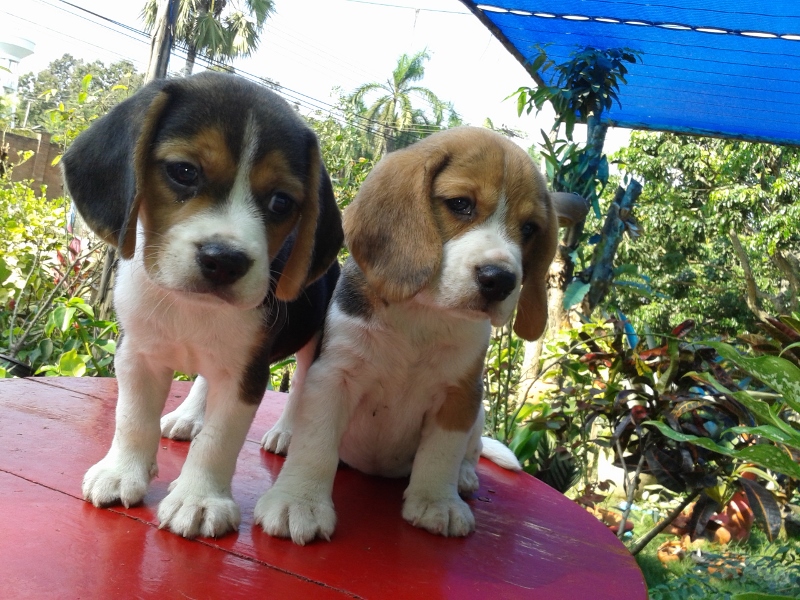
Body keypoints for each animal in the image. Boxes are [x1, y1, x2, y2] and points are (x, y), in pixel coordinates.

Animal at [61, 72, 343, 538]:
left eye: (281, 201)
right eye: (184, 171)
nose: (225, 260)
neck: (190, 306)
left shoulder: (246, 375)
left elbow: (218, 441)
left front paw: (198, 499)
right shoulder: (136, 354)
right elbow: (131, 419)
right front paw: (121, 473)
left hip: (314, 340)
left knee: (302, 382)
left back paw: (285, 432)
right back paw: (188, 415)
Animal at [254, 126, 579, 544]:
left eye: (529, 229)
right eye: (461, 204)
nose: (501, 280)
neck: (424, 314)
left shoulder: (460, 394)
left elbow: (442, 454)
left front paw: (437, 502)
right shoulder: (333, 377)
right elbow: (316, 446)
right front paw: (300, 501)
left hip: (478, 411)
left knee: (471, 448)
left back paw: (465, 476)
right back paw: (286, 433)